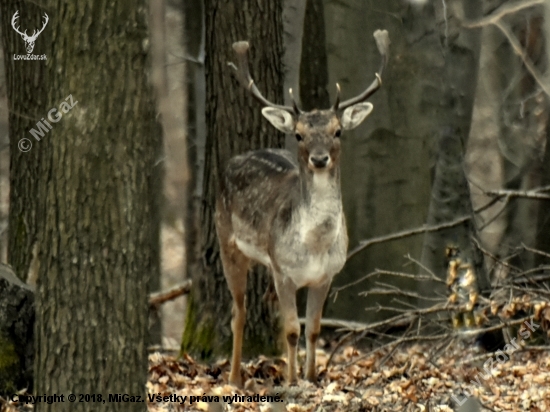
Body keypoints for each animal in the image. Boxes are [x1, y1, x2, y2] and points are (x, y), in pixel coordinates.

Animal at [218, 29, 390, 386]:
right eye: (298, 135)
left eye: (338, 131)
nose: (319, 158)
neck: (314, 245)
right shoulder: (283, 270)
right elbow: (291, 330)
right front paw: (292, 381)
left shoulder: (327, 275)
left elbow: (312, 330)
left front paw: (311, 377)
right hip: (227, 240)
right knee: (238, 313)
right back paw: (234, 378)